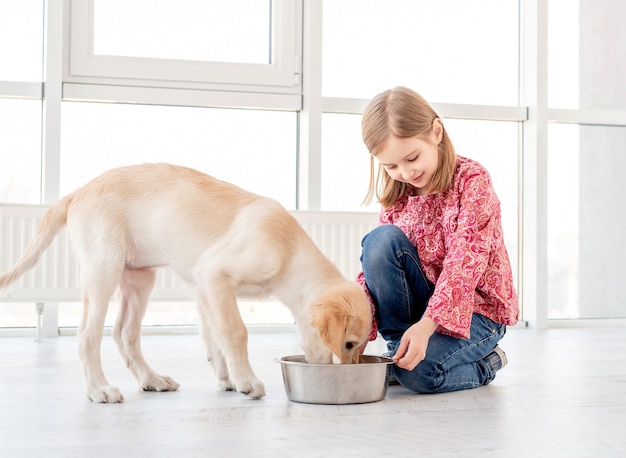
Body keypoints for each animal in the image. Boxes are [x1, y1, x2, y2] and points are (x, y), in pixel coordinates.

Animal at [0, 163, 370, 402]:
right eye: (348, 343)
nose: (340, 371)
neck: (289, 250)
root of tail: (78, 192)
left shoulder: (204, 288)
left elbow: (216, 338)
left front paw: (226, 378)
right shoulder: (215, 275)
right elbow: (236, 332)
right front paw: (247, 381)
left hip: (139, 277)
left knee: (125, 334)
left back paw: (152, 380)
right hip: (103, 268)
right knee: (88, 335)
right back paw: (99, 389)